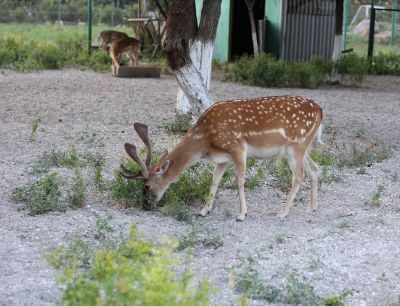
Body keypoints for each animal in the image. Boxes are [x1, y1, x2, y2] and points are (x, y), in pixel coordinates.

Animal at [121, 95, 322, 220]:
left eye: (146, 186)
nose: (146, 204)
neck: (205, 139)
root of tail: (320, 110)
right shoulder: (223, 158)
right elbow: (214, 181)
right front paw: (203, 211)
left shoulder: (237, 148)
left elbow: (239, 181)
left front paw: (241, 214)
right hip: (301, 147)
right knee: (315, 169)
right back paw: (311, 208)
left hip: (297, 145)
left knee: (299, 176)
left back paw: (283, 212)